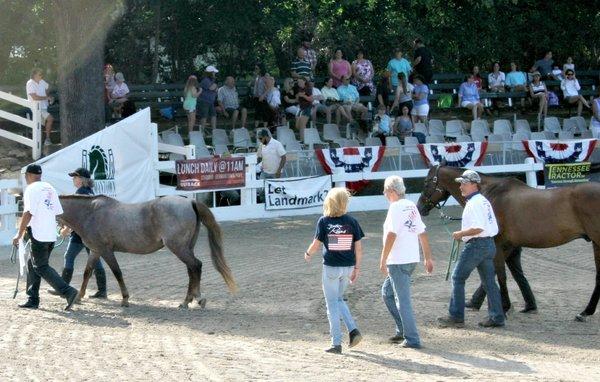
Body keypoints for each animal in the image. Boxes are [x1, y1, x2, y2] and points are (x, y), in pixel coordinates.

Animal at [57, 195, 238, 308]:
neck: (90, 213)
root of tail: (190, 202)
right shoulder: (95, 251)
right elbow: (87, 273)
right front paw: (78, 297)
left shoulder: (106, 251)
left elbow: (117, 273)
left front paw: (125, 300)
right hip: (186, 248)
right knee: (192, 270)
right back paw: (191, 300)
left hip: (179, 248)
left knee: (196, 266)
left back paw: (190, 301)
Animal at [414, 166, 600, 320]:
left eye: (426, 182)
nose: (420, 207)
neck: (491, 193)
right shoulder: (507, 246)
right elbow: (496, 275)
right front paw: (477, 302)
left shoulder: (497, 243)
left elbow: (500, 275)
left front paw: (503, 307)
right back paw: (586, 311)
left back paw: (585, 311)